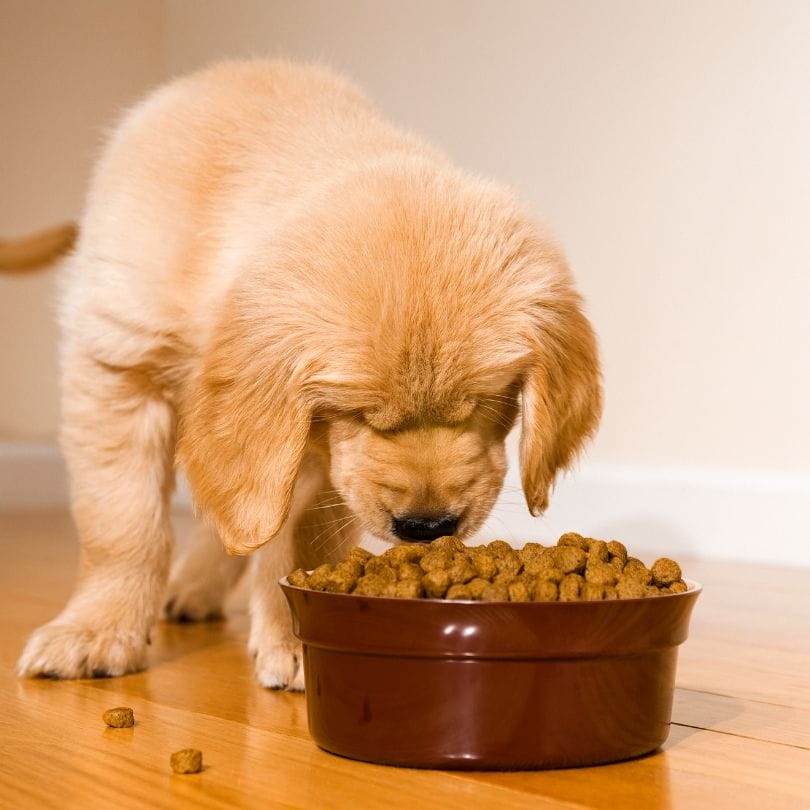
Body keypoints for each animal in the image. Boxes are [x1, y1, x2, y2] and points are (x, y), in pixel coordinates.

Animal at [17, 58, 600, 688]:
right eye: (359, 413)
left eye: (490, 403)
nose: (426, 528)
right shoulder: (118, 364)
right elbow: (122, 524)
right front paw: (97, 631)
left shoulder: (314, 453)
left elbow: (298, 536)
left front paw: (296, 637)